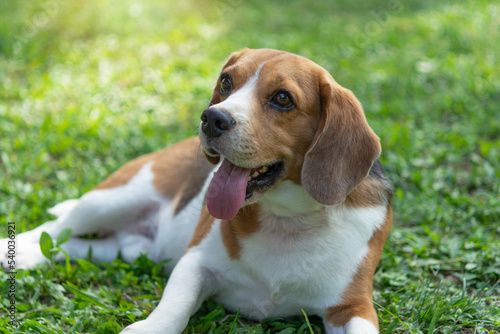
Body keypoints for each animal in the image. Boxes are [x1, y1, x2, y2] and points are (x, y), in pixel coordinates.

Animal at [0, 48, 392, 332]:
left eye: (282, 98)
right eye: (226, 81)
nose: (213, 118)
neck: (288, 220)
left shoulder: (354, 305)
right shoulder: (196, 262)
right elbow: (174, 308)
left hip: (123, 250)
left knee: (70, 248)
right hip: (111, 199)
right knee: (53, 230)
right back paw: (14, 251)